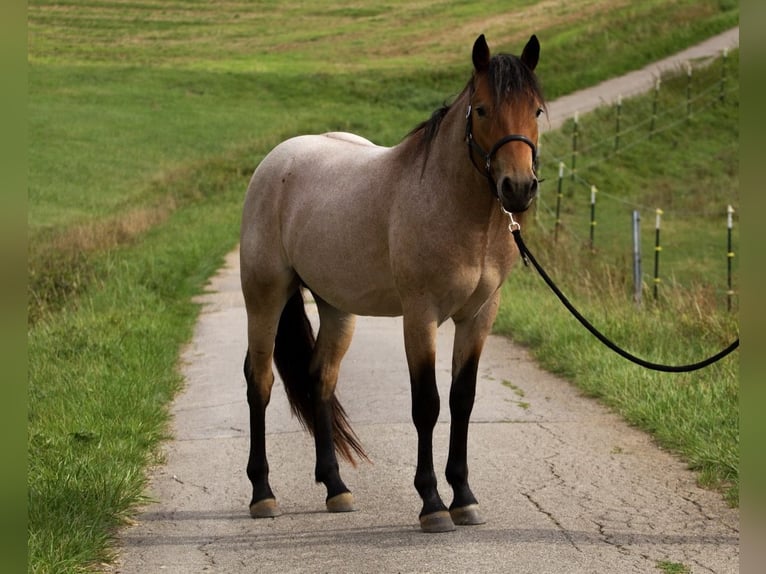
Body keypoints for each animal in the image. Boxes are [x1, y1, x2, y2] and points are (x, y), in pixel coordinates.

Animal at [240, 33, 545, 533]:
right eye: (482, 110)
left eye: (536, 110)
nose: (517, 188)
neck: (453, 205)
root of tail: (276, 161)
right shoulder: (420, 316)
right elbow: (427, 405)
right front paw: (432, 504)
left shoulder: (479, 317)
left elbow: (462, 400)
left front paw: (464, 497)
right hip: (264, 297)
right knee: (259, 381)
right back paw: (262, 493)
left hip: (336, 307)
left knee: (320, 378)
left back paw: (336, 488)